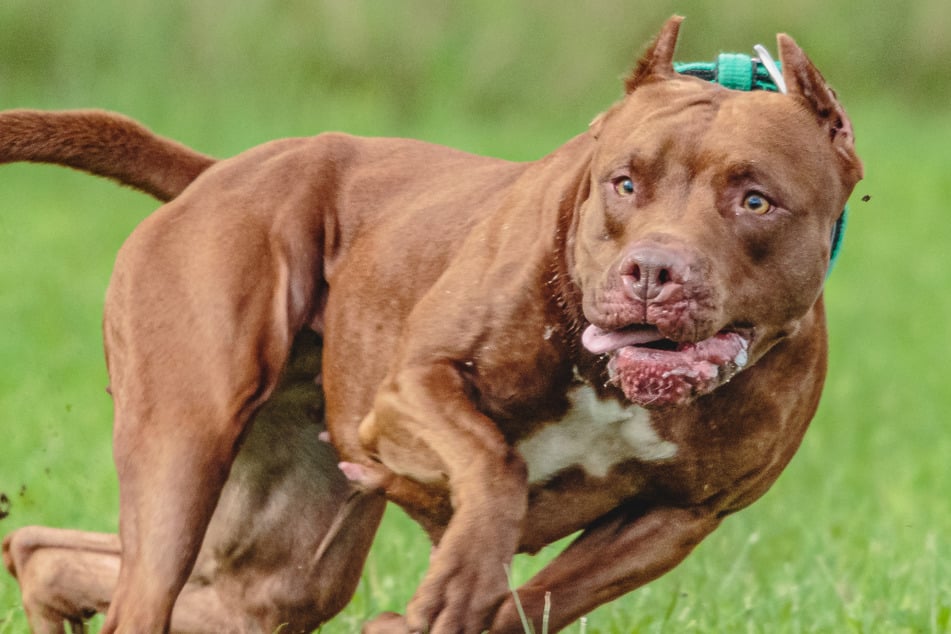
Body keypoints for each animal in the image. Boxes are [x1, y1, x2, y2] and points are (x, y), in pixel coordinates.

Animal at [1, 16, 864, 632]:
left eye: (754, 200)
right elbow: (495, 463)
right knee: (144, 585)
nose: (652, 273)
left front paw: (433, 613)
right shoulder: (409, 393)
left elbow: (533, 601)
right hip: (187, 438)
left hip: (275, 572)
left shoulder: (678, 516)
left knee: (58, 556)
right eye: (624, 183)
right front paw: (458, 574)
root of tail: (215, 173)